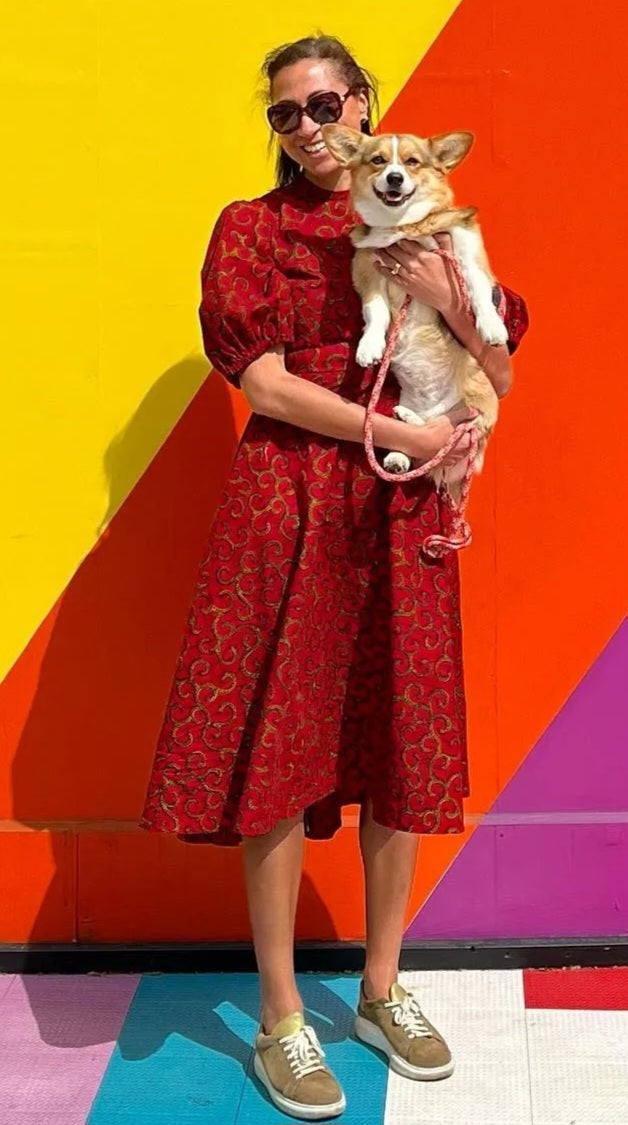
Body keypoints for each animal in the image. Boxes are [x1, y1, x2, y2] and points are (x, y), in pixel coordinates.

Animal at [321, 124, 508, 497]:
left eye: (412, 163)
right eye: (378, 161)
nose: (394, 178)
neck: (402, 228)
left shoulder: (465, 247)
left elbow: (478, 288)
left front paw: (491, 326)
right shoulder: (367, 268)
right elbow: (376, 312)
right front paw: (369, 346)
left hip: (478, 407)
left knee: (455, 430)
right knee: (422, 442)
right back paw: (400, 445)